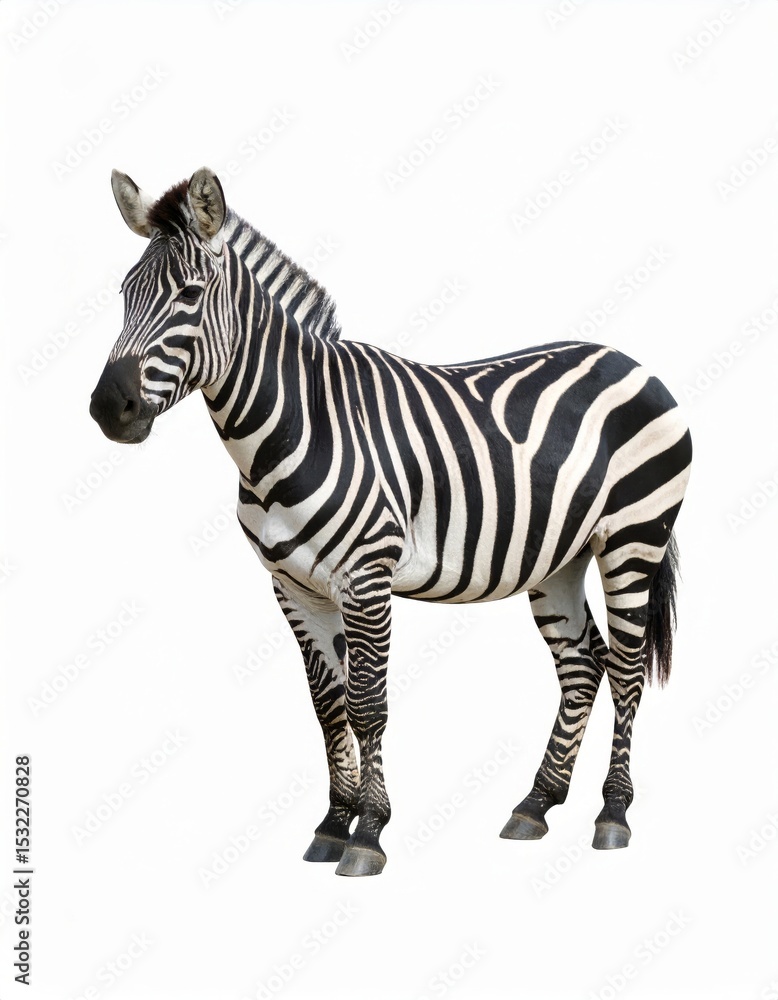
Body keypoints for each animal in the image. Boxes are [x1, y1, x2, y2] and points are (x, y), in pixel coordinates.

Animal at [90, 167, 692, 877]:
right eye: (124, 294)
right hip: (560, 558)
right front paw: (332, 823)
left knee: (625, 670)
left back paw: (613, 814)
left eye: (188, 294)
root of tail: (631, 361)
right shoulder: (293, 587)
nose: (108, 408)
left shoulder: (367, 579)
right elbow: (329, 708)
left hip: (632, 539)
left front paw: (369, 833)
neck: (295, 426)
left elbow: (368, 705)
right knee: (582, 666)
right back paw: (536, 804)